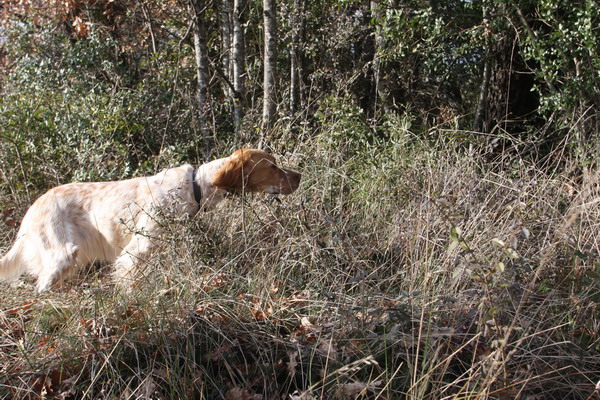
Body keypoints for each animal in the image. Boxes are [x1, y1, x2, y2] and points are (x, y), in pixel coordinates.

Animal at [0, 148, 300, 292]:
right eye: (272, 166)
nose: (299, 176)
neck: (195, 186)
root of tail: (33, 208)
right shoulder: (137, 250)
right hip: (62, 254)